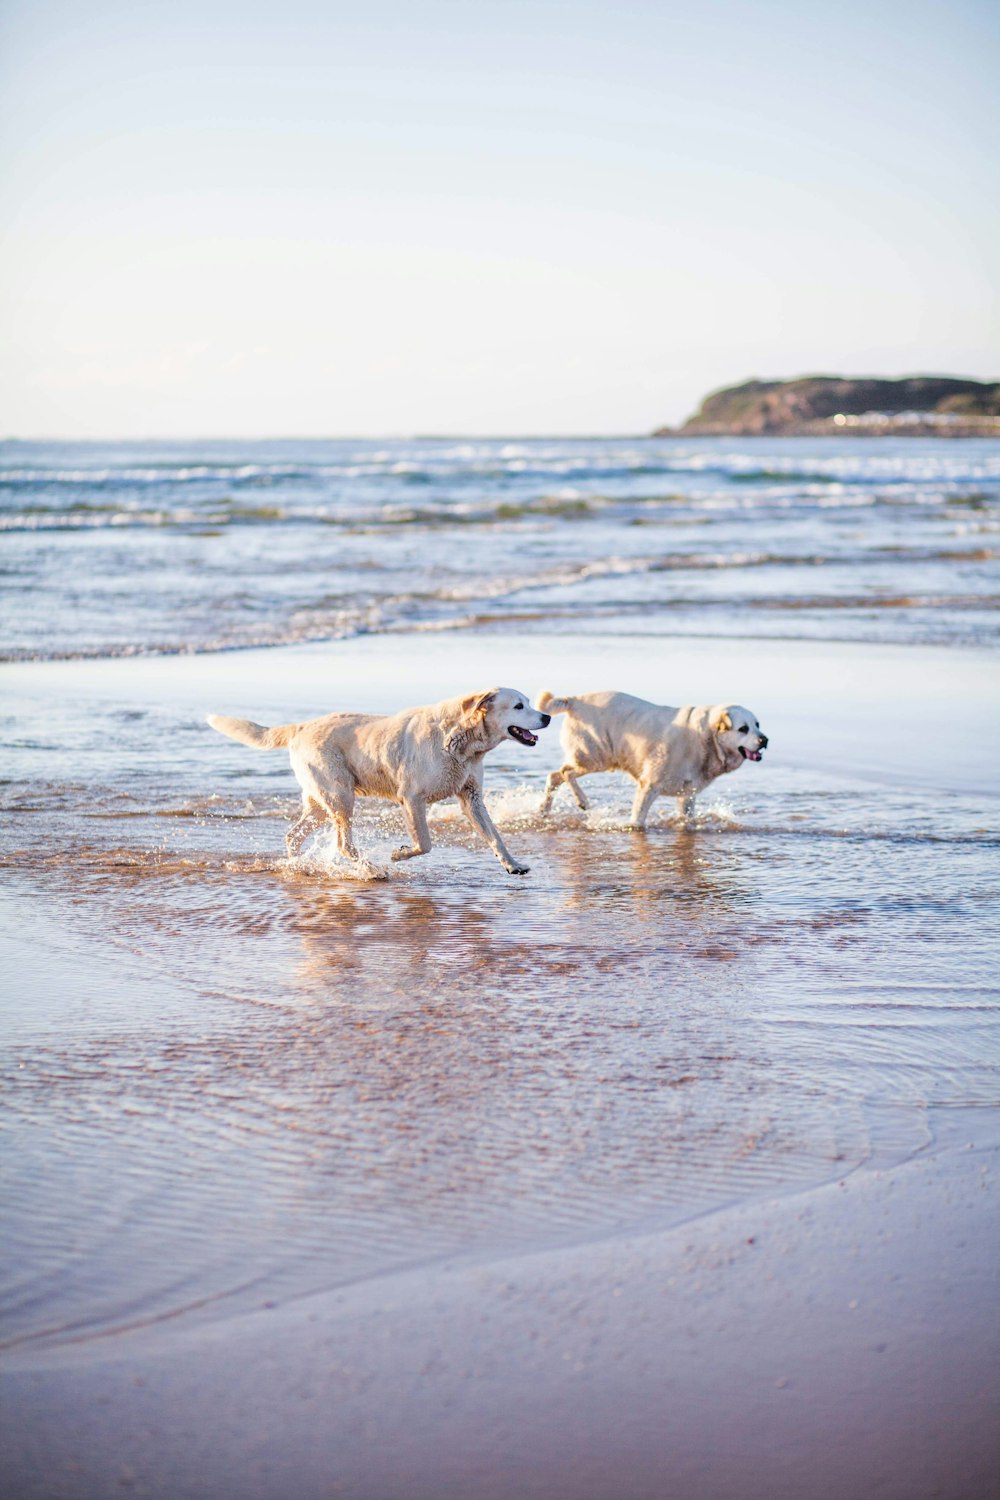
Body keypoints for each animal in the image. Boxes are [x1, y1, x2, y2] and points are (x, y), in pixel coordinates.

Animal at [208, 687, 551, 876]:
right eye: (519, 706)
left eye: (529, 702)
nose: (546, 717)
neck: (461, 742)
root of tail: (301, 727)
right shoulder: (411, 797)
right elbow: (424, 843)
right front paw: (398, 854)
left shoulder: (472, 797)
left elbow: (496, 837)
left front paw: (512, 864)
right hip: (341, 795)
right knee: (343, 844)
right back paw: (371, 870)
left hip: (321, 800)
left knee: (293, 835)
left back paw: (300, 864)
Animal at [539, 687, 767, 828]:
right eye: (743, 729)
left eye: (758, 725)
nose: (765, 740)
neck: (705, 739)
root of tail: (574, 700)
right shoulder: (649, 784)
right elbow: (638, 819)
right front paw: (633, 827)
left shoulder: (687, 793)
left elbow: (687, 817)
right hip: (594, 756)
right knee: (565, 772)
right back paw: (582, 801)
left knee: (554, 776)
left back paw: (543, 811)